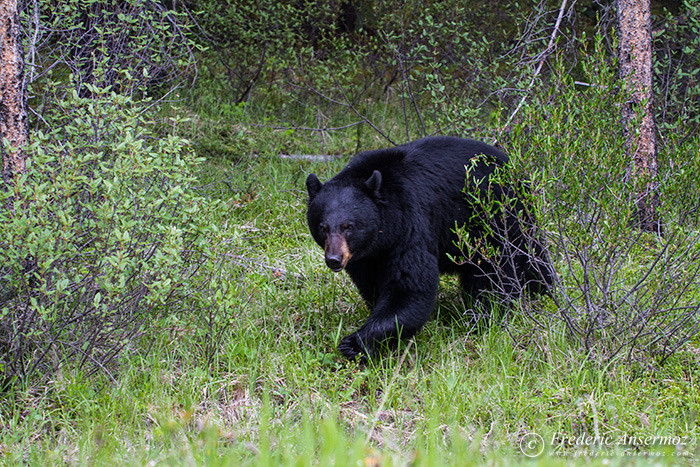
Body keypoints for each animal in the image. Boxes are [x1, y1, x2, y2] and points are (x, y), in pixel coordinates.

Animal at [306, 135, 552, 362]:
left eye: (349, 226)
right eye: (322, 227)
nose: (334, 259)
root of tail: (513, 166)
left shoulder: (410, 224)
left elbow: (409, 288)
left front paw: (355, 343)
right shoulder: (364, 257)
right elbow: (373, 284)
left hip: (501, 218)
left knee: (508, 266)